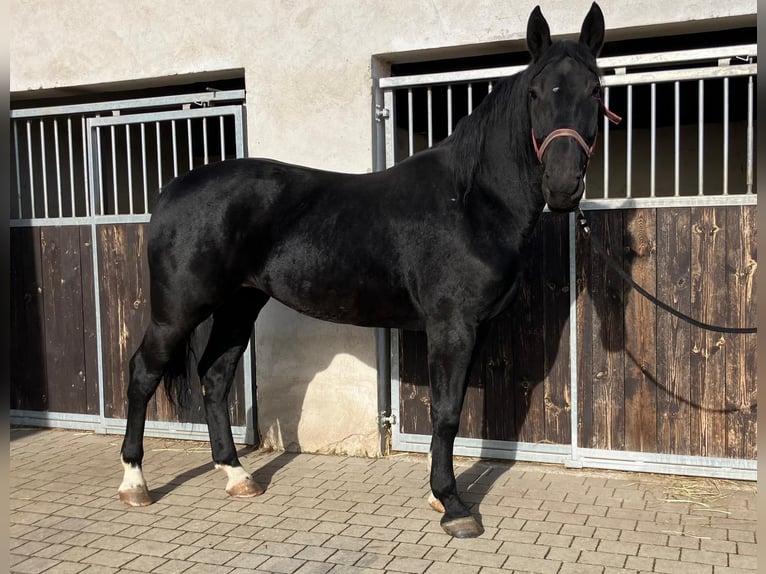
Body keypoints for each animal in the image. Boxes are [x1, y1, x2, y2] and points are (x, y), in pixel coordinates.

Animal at [118, 2, 615, 538]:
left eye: (595, 90)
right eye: (536, 93)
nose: (562, 186)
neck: (470, 202)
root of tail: (174, 189)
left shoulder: (475, 329)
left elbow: (455, 407)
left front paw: (441, 497)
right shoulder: (452, 325)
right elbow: (445, 413)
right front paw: (453, 505)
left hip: (239, 304)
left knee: (214, 375)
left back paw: (237, 475)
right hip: (178, 310)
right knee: (143, 373)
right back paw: (134, 483)